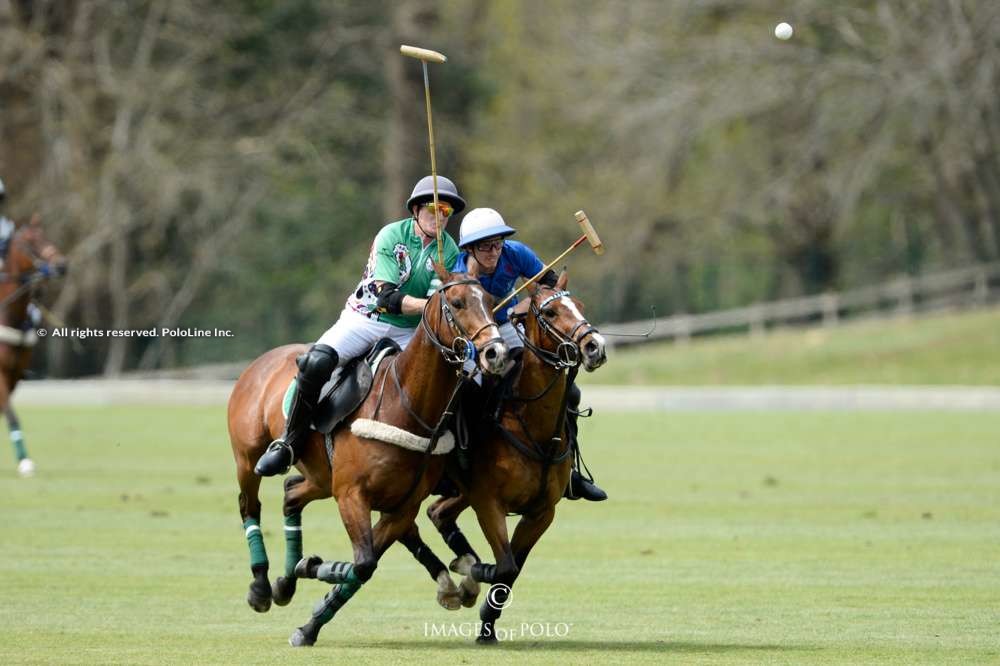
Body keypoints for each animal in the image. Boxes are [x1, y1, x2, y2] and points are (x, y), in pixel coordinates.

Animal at [0, 213, 67, 472]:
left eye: (46, 236)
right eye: (29, 243)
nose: (61, 264)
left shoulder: (15, 373)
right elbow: (10, 413)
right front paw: (24, 462)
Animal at [227, 264, 508, 644]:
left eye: (491, 300)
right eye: (457, 302)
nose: (496, 353)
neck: (405, 405)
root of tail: (260, 361)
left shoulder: (402, 506)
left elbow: (367, 562)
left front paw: (309, 604)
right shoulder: (351, 494)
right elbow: (362, 563)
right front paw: (313, 580)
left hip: (321, 476)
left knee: (291, 494)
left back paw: (285, 582)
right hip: (248, 457)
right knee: (249, 504)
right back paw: (260, 586)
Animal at [394, 272, 604, 640]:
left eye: (579, 305)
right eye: (550, 313)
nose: (595, 346)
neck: (531, 424)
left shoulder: (541, 512)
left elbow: (514, 569)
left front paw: (487, 622)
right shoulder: (489, 502)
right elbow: (505, 565)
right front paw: (476, 578)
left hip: (460, 491)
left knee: (438, 512)